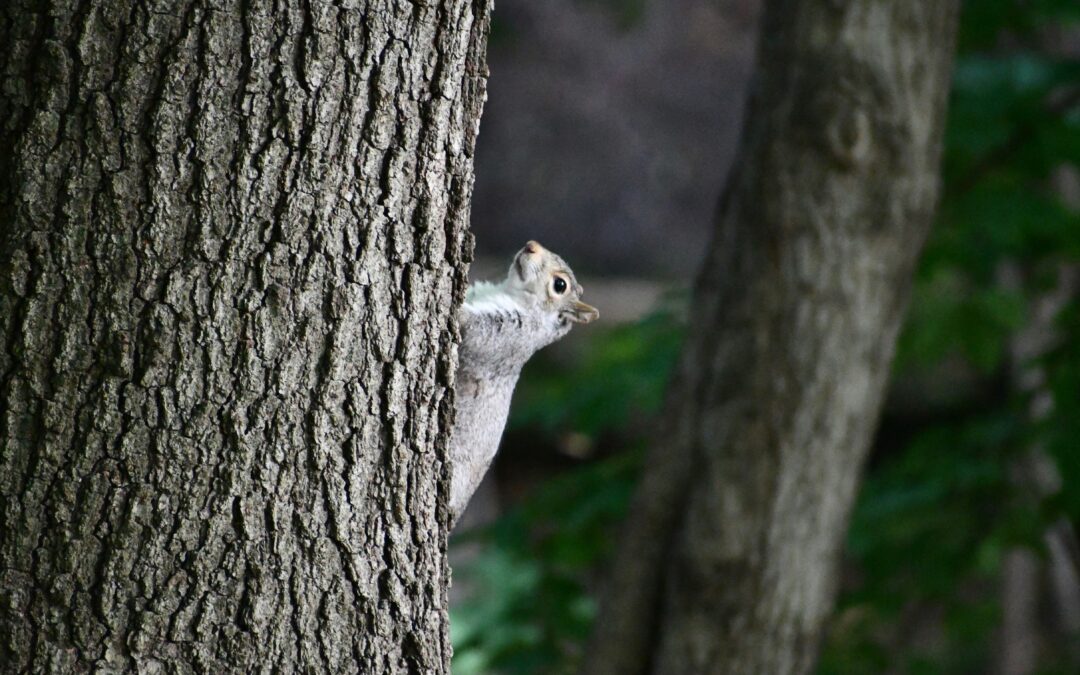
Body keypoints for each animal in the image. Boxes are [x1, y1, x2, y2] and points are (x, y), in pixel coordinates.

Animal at [448, 241, 598, 527]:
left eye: (560, 285)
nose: (531, 246)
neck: (513, 294)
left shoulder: (504, 335)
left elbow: (470, 331)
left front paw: (457, 312)